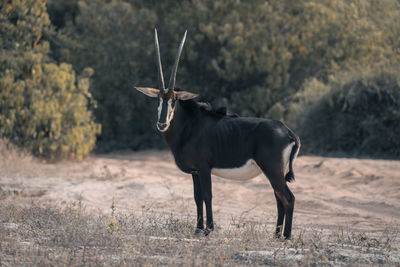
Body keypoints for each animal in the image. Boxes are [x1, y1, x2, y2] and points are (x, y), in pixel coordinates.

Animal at [135, 29, 300, 241]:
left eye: (174, 101)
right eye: (158, 100)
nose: (162, 123)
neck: (190, 126)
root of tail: (289, 133)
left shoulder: (204, 168)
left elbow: (208, 195)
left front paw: (209, 229)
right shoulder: (195, 172)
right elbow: (197, 198)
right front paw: (198, 229)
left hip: (273, 170)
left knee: (288, 198)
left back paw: (286, 236)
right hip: (274, 172)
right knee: (279, 198)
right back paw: (276, 235)